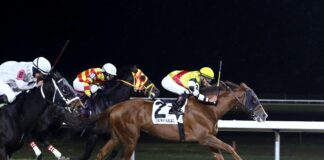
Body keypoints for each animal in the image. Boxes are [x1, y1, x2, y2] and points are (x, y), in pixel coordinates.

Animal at [94, 81, 268, 160]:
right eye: (253, 98)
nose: (264, 116)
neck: (208, 108)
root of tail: (115, 107)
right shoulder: (204, 138)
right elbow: (230, 148)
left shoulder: (209, 139)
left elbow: (221, 155)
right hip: (130, 139)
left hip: (117, 136)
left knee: (101, 153)